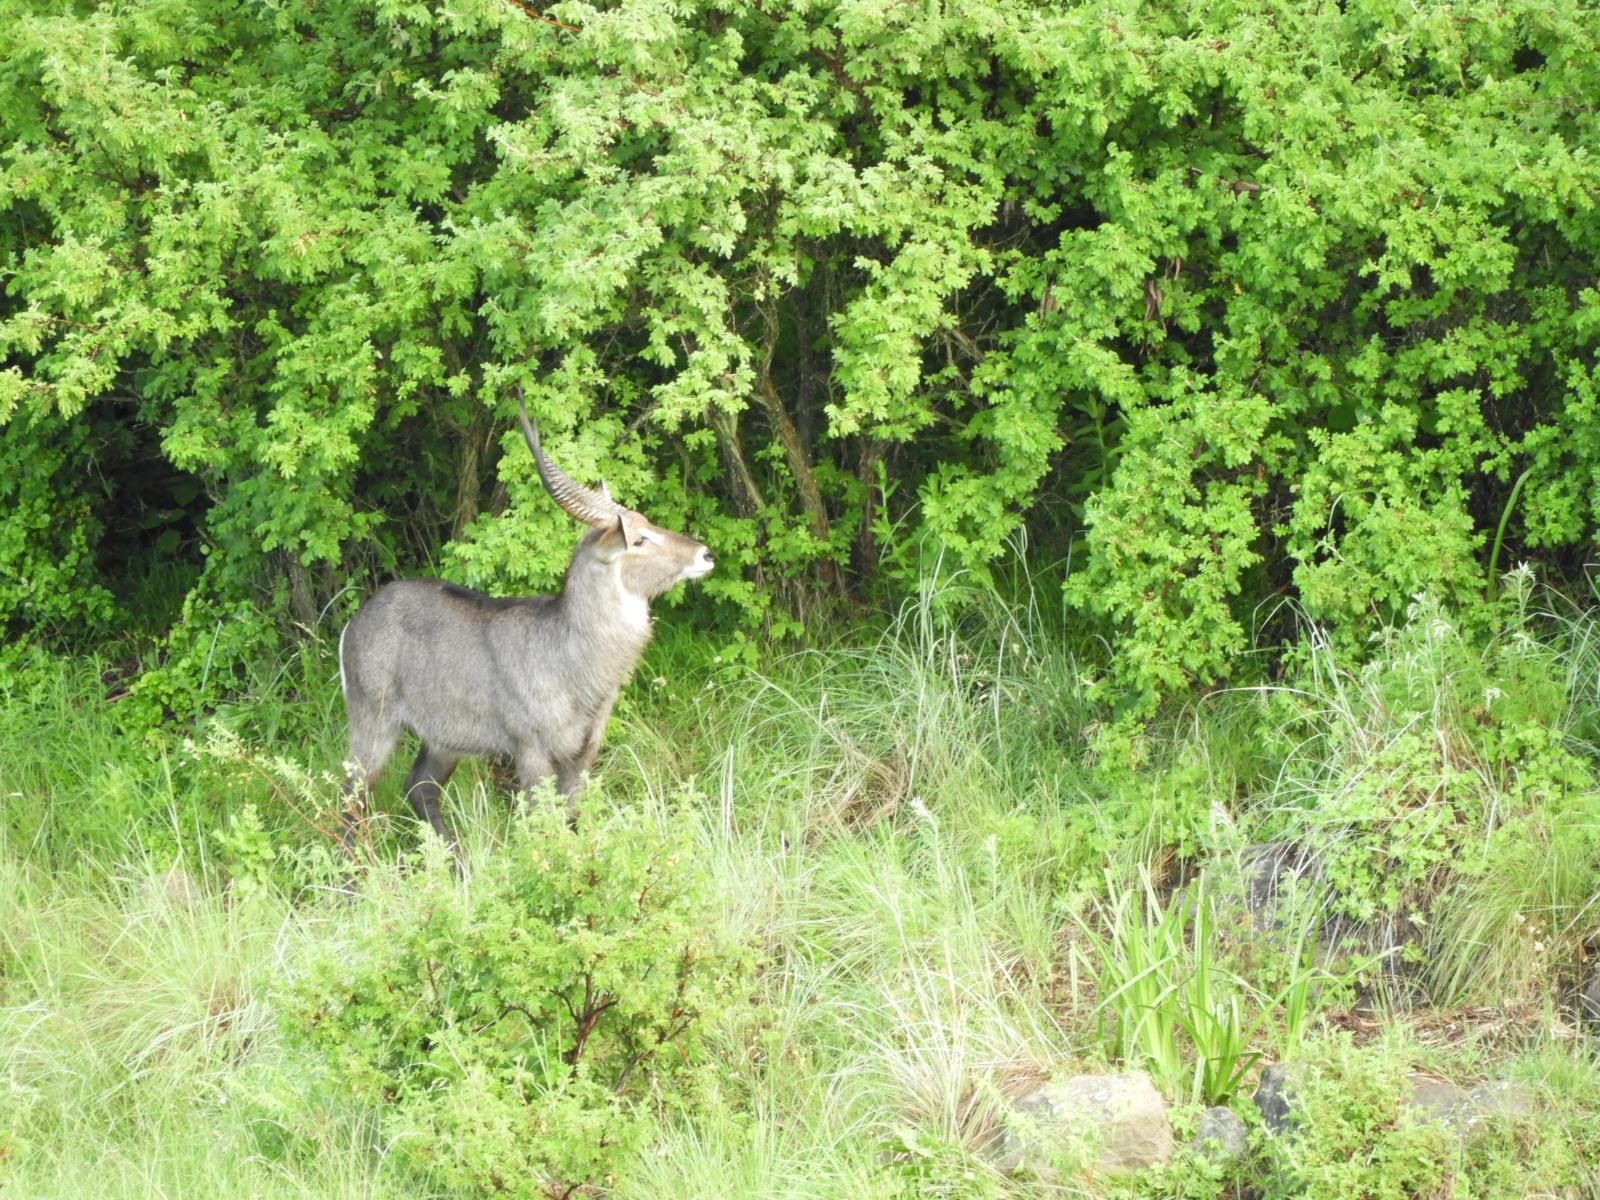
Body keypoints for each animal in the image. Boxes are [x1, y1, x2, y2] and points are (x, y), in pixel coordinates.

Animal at [337, 400, 713, 857]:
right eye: (638, 539)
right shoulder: (531, 751)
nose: (705, 554)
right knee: (351, 798)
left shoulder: (582, 756)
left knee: (419, 788)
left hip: (443, 739)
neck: (573, 661)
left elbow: (570, 822)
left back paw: (458, 863)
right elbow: (542, 826)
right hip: (372, 724)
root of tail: (356, 621)